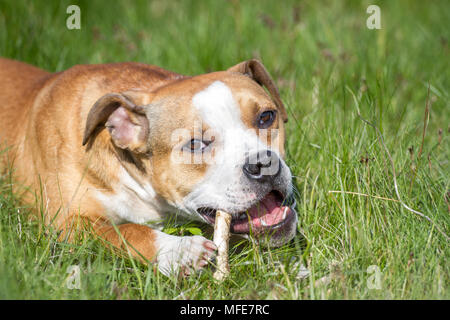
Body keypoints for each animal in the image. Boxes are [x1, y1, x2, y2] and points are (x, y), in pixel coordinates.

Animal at [0, 57, 298, 276]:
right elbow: (124, 231)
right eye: (195, 144)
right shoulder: (67, 224)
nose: (264, 163)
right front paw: (180, 251)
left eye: (266, 117)